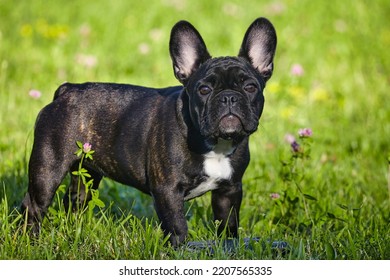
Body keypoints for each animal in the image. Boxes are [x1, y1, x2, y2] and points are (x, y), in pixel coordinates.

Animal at [22, 17, 278, 246]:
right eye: (204, 89)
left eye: (250, 87)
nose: (229, 97)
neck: (215, 145)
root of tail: (68, 90)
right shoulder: (168, 191)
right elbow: (177, 226)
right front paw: (181, 251)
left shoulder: (230, 190)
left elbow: (228, 224)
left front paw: (229, 247)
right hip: (47, 169)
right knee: (33, 205)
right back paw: (30, 241)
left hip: (88, 173)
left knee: (76, 200)